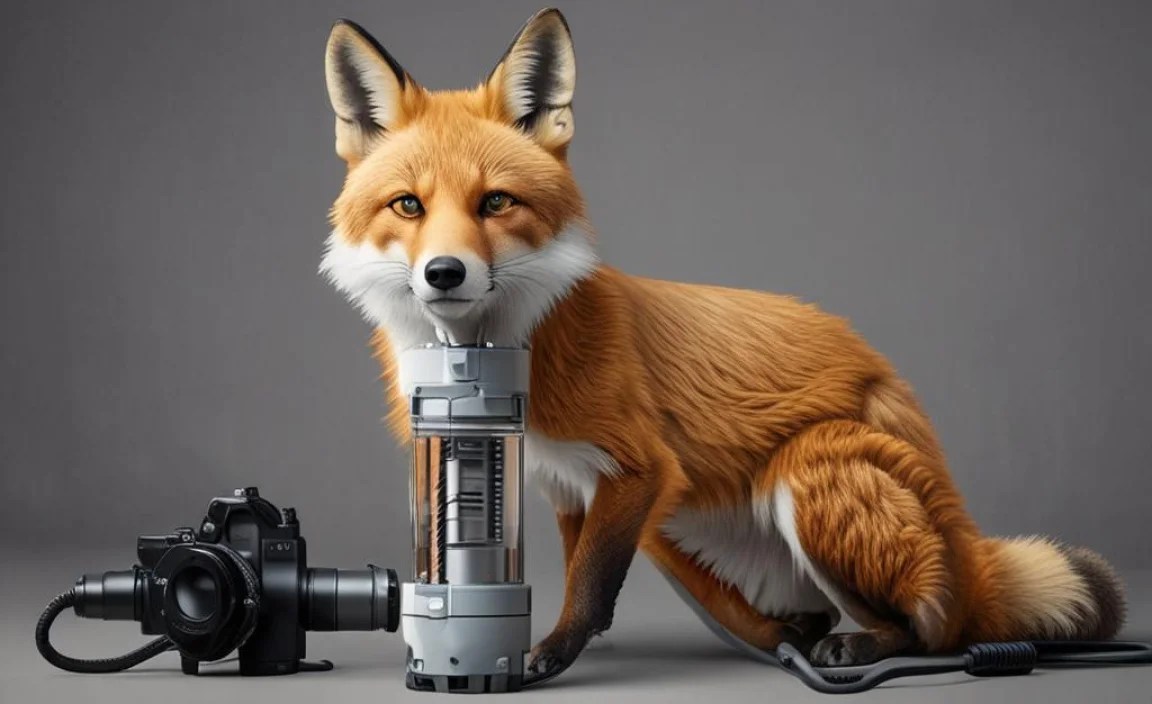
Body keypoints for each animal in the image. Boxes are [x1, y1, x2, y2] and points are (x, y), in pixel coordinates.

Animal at [319, 8, 1125, 681]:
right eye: (409, 206)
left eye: (495, 203)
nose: (445, 272)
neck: (499, 346)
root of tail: (968, 546)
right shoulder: (566, 481)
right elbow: (577, 568)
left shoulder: (641, 468)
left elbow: (588, 583)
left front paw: (547, 654)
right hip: (678, 540)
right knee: (815, 616)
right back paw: (791, 634)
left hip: (807, 471)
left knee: (929, 630)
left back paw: (855, 645)